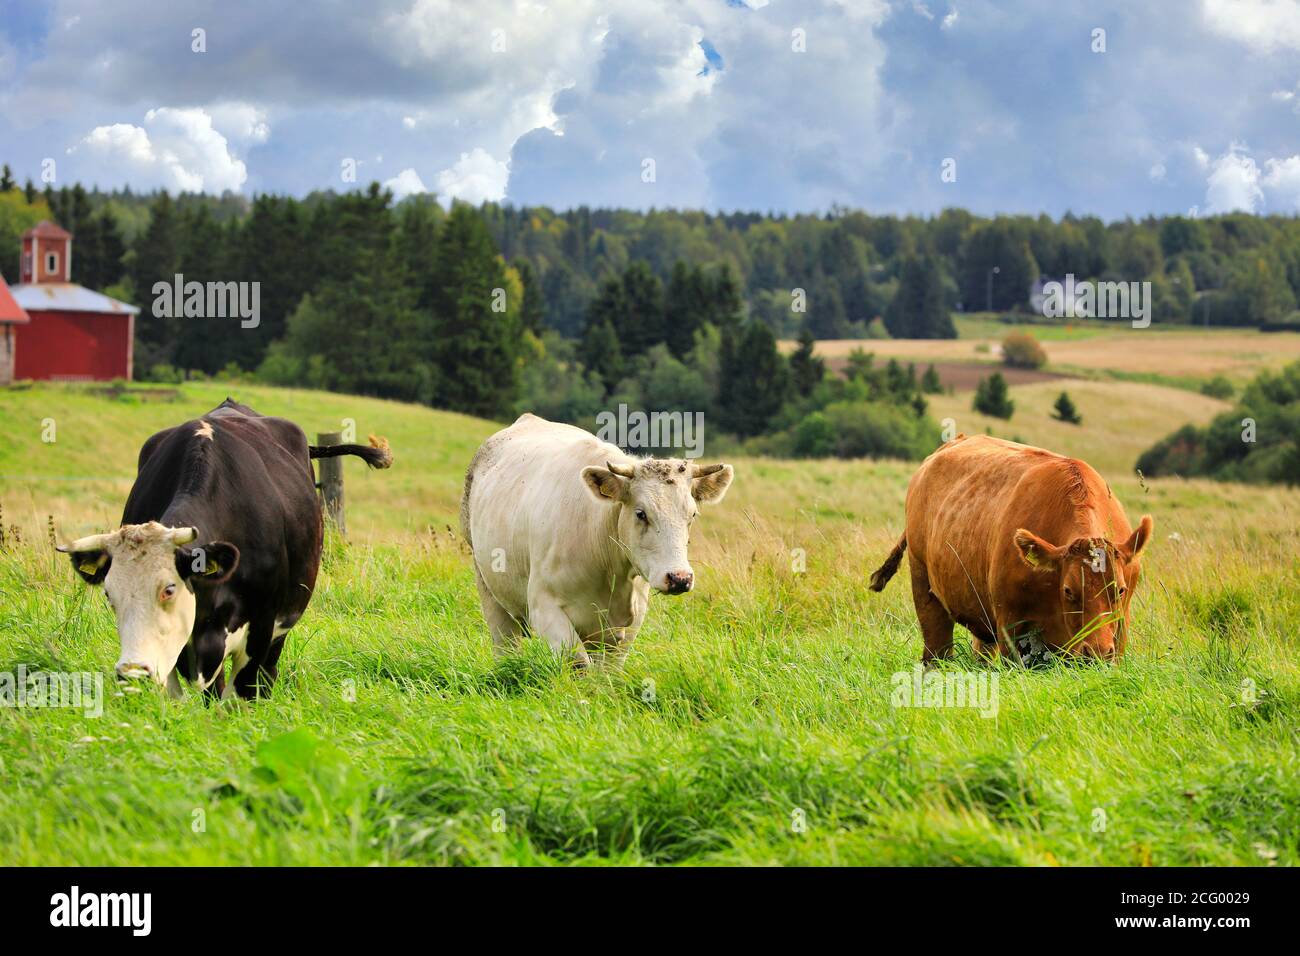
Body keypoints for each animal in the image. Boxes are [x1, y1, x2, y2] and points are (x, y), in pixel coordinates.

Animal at [462, 411, 738, 665]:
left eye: (692, 514)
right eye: (641, 513)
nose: (680, 578)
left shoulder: (629, 623)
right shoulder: (544, 607)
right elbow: (578, 664)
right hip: (487, 584)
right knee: (504, 642)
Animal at [868, 434, 1154, 665]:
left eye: (1119, 590)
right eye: (1068, 590)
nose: (1096, 653)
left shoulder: (1121, 628)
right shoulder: (1010, 624)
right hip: (923, 583)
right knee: (936, 649)